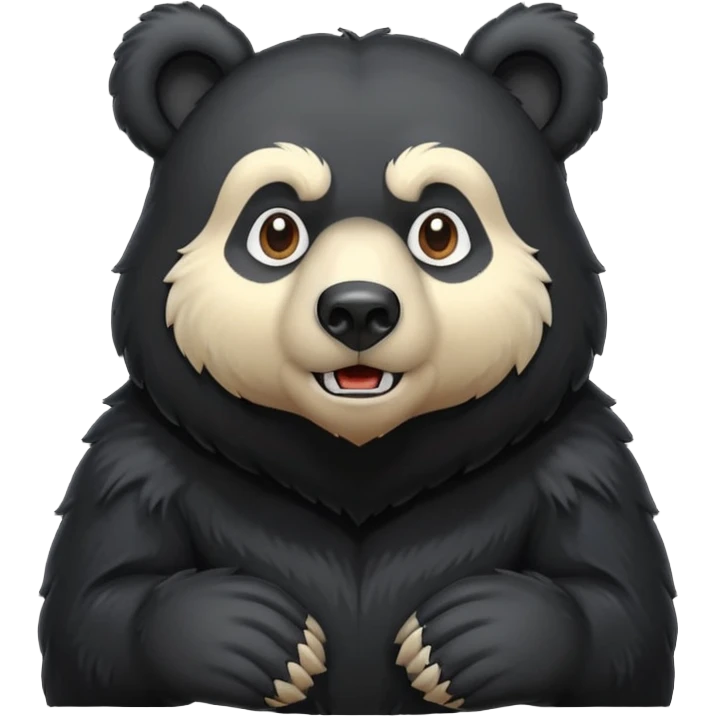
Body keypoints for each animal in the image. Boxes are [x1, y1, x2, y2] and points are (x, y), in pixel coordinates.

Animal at [39, 3, 677, 713]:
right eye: (277, 232)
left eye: (439, 232)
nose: (359, 310)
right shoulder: (138, 455)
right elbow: (95, 622)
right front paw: (258, 638)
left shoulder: (578, 456)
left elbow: (623, 624)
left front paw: (464, 639)